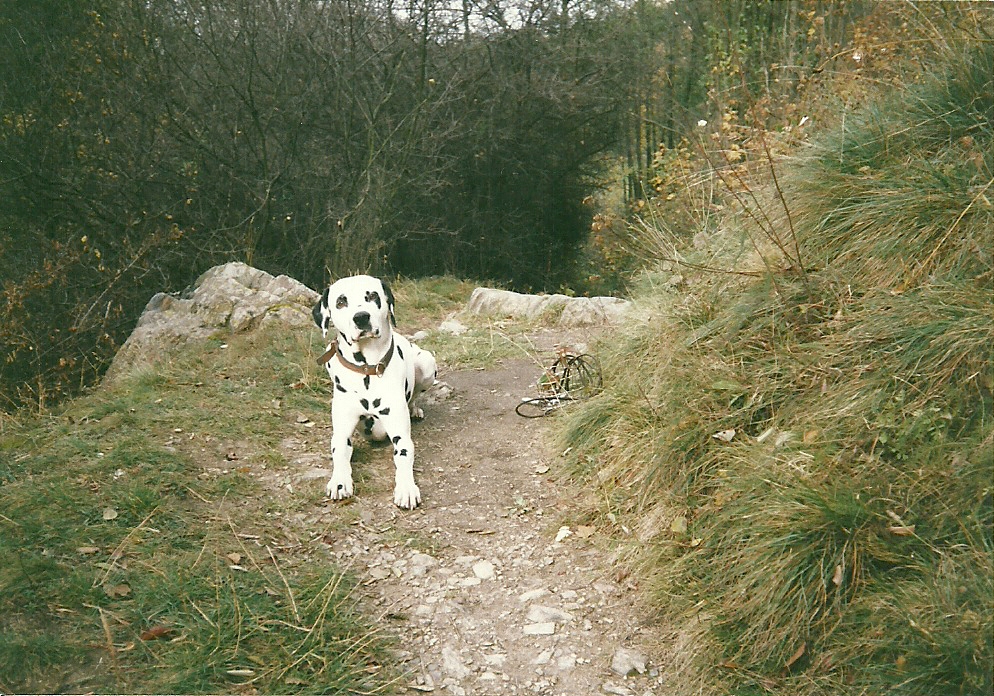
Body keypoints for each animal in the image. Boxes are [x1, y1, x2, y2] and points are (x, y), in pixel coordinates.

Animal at [312, 275, 436, 509]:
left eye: (372, 296)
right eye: (341, 302)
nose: (361, 317)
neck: (366, 370)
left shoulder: (401, 436)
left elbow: (404, 455)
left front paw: (406, 488)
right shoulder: (341, 434)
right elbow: (339, 453)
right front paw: (339, 481)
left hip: (426, 363)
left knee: (416, 395)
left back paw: (414, 409)